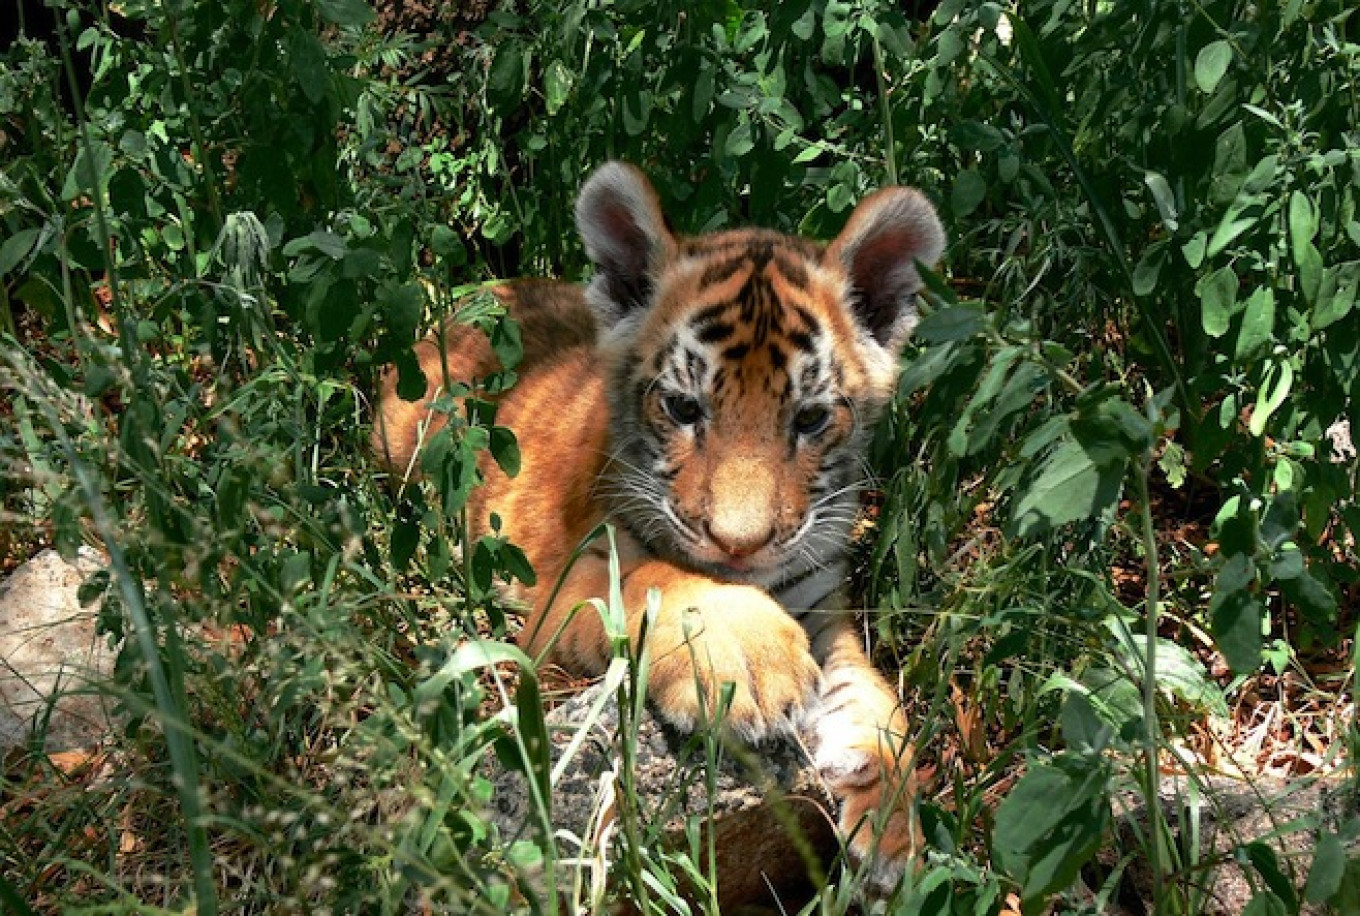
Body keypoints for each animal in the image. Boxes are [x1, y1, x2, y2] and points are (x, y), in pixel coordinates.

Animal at [372, 161, 945, 889]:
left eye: (811, 419)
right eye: (682, 408)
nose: (738, 545)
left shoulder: (823, 609)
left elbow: (873, 702)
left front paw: (894, 832)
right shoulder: (561, 587)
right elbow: (653, 579)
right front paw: (740, 652)